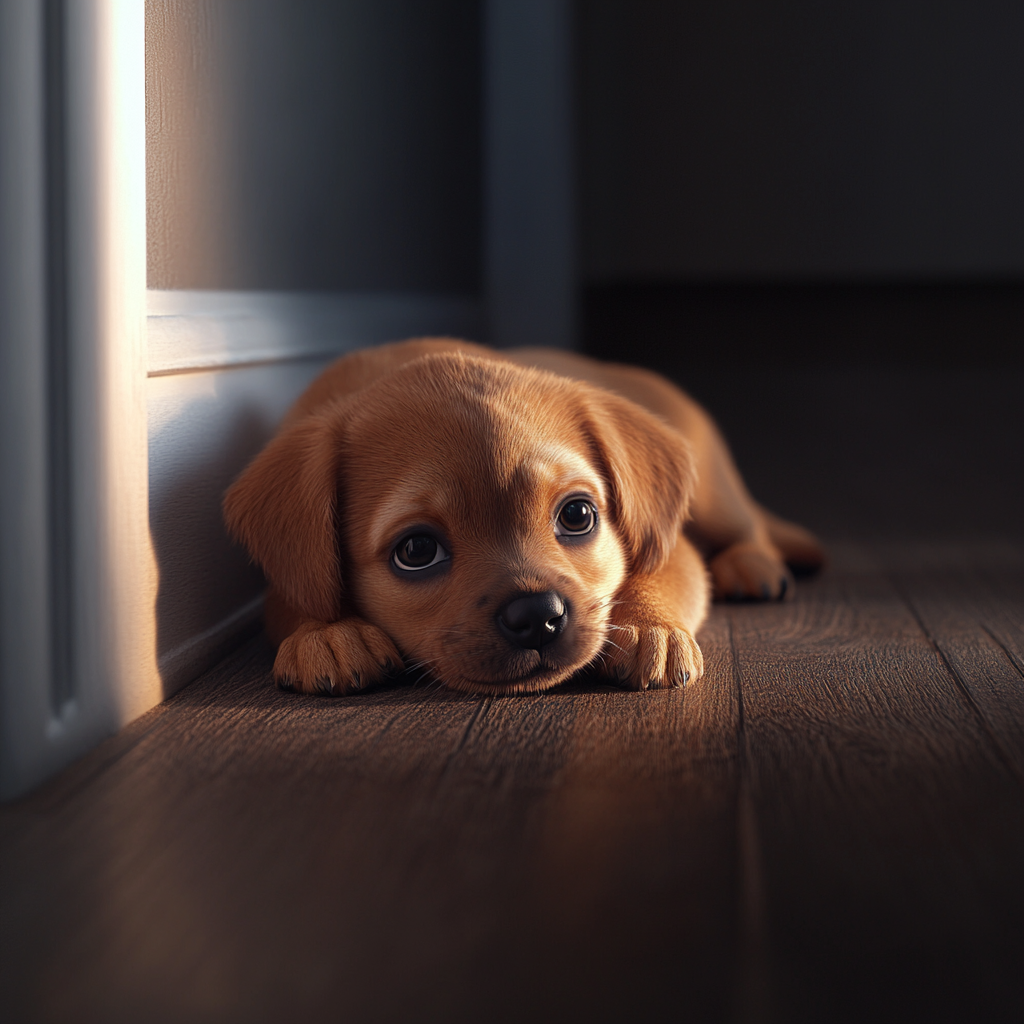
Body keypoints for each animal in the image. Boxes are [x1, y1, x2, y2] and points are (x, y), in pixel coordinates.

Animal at [224, 339, 823, 700]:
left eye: (578, 514)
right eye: (416, 551)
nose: (538, 615)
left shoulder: (667, 542)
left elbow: (657, 576)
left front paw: (649, 627)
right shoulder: (281, 579)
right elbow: (302, 594)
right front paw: (327, 634)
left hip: (716, 496)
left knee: (750, 528)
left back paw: (753, 566)